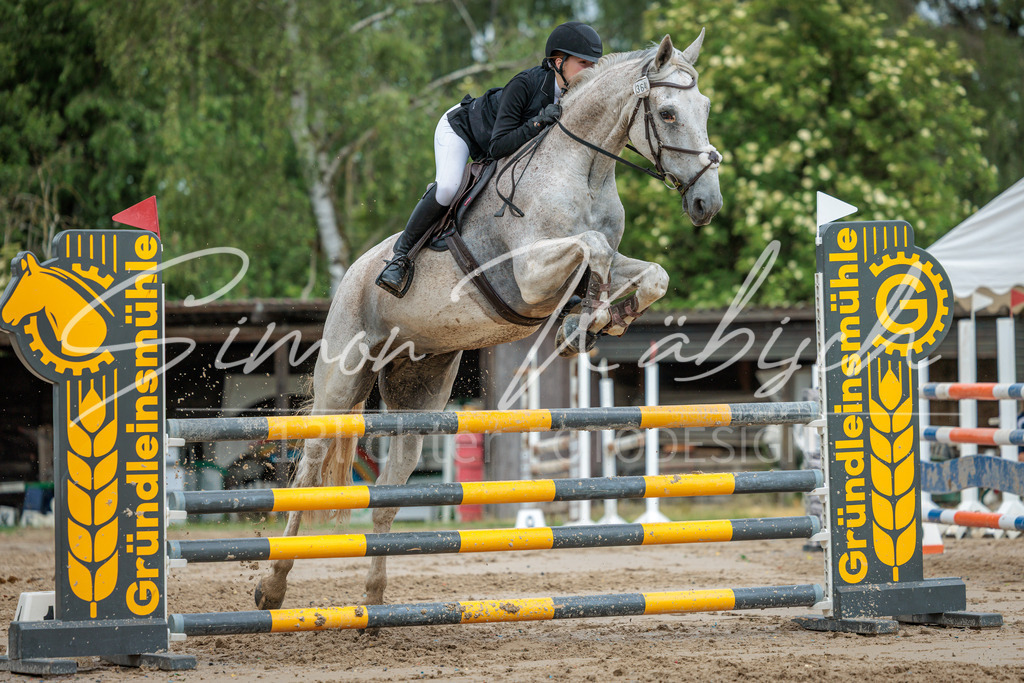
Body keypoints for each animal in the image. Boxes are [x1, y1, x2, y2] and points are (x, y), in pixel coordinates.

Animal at [254, 31, 722, 613]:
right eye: (666, 112)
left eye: (705, 107)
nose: (707, 203)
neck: (584, 170)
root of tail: (351, 276)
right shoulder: (528, 274)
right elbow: (589, 247)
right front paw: (585, 319)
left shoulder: (611, 261)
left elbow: (649, 273)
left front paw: (601, 321)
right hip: (342, 378)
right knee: (309, 469)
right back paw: (272, 587)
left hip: (419, 393)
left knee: (387, 493)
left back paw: (376, 603)